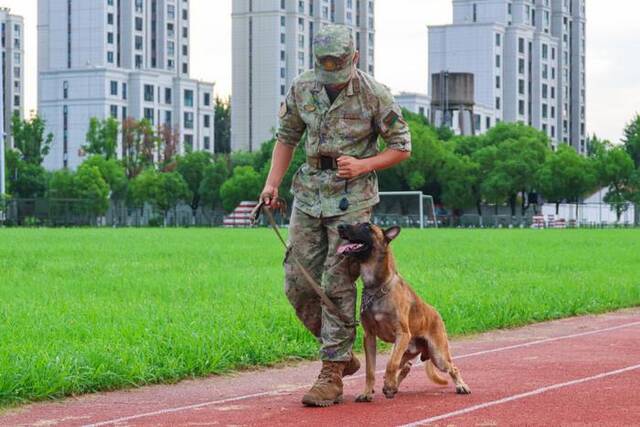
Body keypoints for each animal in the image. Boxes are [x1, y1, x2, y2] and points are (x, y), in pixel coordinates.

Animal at [336, 224, 470, 402]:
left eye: (366, 226)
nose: (340, 226)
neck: (378, 287)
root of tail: (436, 313)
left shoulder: (402, 334)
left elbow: (390, 364)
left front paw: (388, 385)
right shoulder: (369, 337)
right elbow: (371, 370)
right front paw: (367, 393)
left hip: (437, 354)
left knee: (452, 367)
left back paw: (461, 386)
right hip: (405, 350)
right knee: (405, 366)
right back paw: (393, 386)